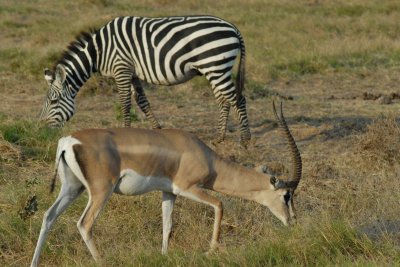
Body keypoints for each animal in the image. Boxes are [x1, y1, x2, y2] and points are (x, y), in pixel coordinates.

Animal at [39, 15, 250, 146]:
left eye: (54, 101)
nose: (42, 130)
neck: (98, 51)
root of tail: (232, 27)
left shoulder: (121, 69)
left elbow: (125, 104)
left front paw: (123, 135)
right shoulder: (132, 73)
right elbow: (142, 102)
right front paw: (158, 130)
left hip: (216, 66)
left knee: (238, 99)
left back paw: (245, 140)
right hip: (215, 69)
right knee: (224, 100)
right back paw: (220, 137)